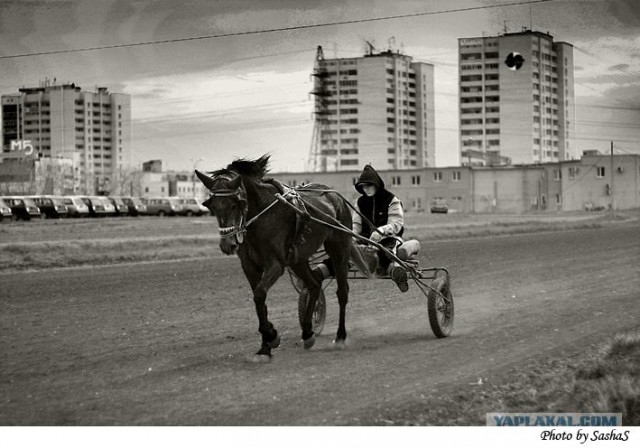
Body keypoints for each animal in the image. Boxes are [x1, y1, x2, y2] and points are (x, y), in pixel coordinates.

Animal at [196, 156, 370, 362]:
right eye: (213, 206)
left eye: (235, 204)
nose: (227, 244)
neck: (262, 215)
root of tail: (335, 196)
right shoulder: (249, 266)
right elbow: (259, 300)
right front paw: (265, 346)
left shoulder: (276, 264)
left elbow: (259, 294)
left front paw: (271, 336)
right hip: (298, 259)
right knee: (313, 285)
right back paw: (307, 333)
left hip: (339, 248)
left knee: (342, 292)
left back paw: (340, 336)